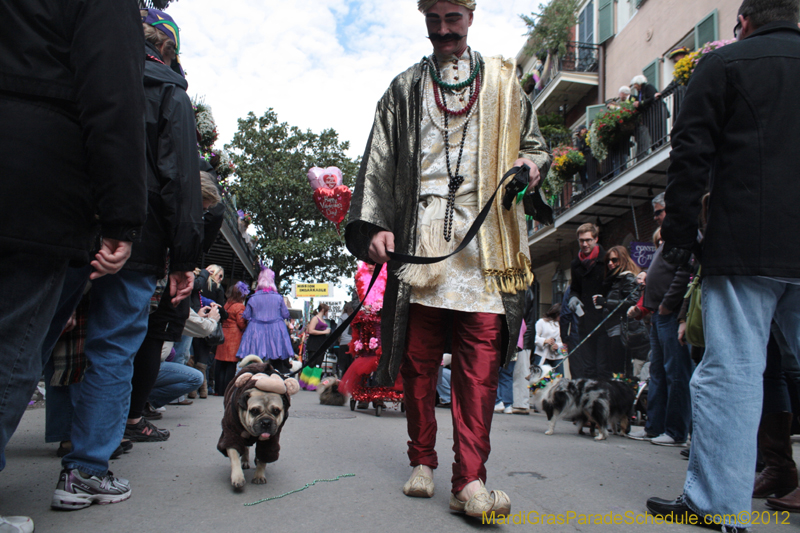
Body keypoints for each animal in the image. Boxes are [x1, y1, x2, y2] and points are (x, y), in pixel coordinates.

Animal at [219, 356, 300, 488]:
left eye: (276, 411)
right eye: (254, 411)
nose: (266, 422)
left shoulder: (270, 440)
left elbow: (264, 456)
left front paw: (259, 475)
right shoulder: (231, 434)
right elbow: (234, 455)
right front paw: (237, 477)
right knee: (245, 448)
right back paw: (245, 461)